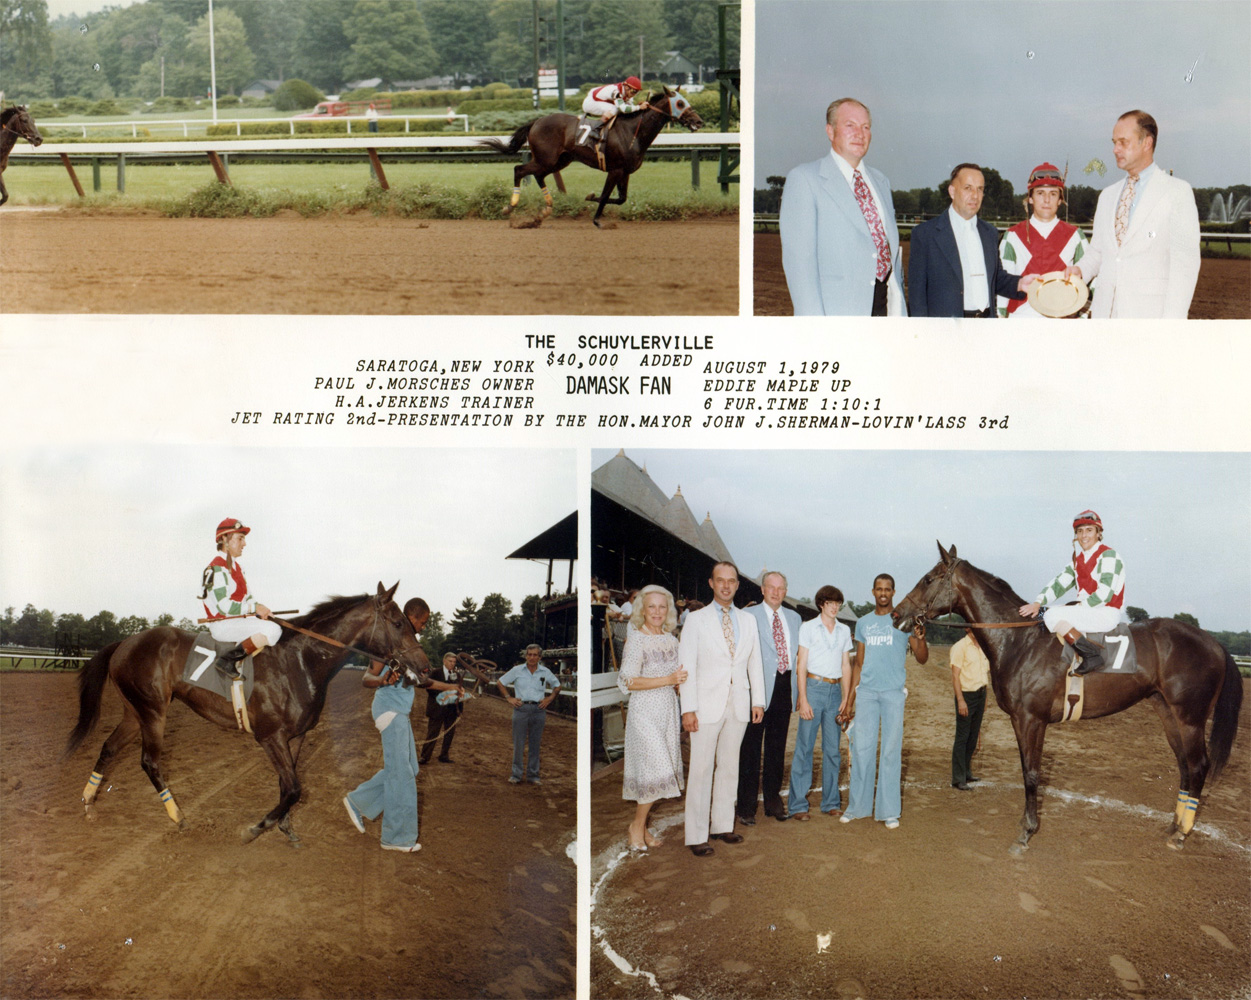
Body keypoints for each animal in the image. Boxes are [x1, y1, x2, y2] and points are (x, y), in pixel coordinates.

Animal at [64, 583, 430, 851]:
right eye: (399, 623)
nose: (424, 666)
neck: (301, 662)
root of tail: (125, 641)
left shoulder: (296, 736)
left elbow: (289, 785)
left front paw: (286, 828)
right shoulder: (270, 736)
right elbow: (293, 788)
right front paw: (254, 829)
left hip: (134, 712)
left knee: (109, 748)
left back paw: (88, 803)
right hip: (153, 711)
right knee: (149, 762)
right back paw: (178, 817)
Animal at [475, 86, 700, 229]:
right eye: (680, 103)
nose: (698, 121)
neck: (632, 132)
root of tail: (536, 121)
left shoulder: (625, 172)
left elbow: (621, 198)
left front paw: (592, 199)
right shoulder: (615, 170)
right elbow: (606, 196)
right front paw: (596, 216)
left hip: (558, 161)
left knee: (538, 176)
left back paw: (544, 211)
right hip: (546, 159)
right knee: (519, 170)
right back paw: (510, 206)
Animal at [895, 548, 1235, 851]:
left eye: (928, 579)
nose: (898, 613)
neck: (1019, 641)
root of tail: (1214, 642)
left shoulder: (1031, 720)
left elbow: (1032, 774)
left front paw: (1027, 832)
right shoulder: (1021, 721)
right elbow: (1027, 770)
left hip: (1190, 719)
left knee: (1199, 766)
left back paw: (1182, 834)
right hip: (1167, 714)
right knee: (1185, 766)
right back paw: (1174, 825)